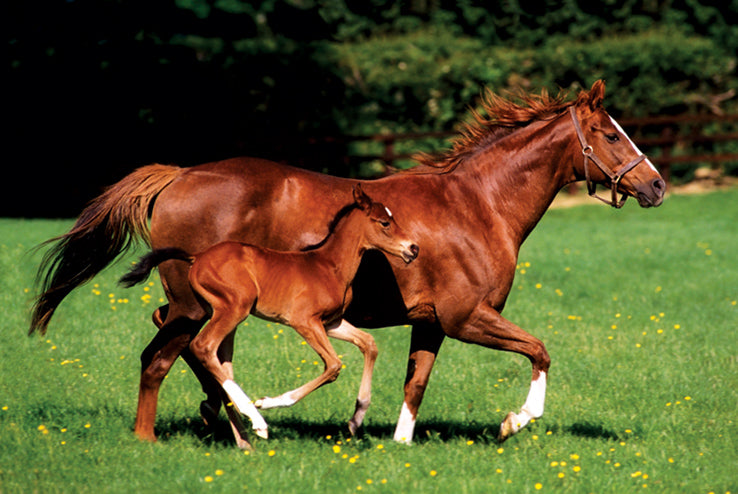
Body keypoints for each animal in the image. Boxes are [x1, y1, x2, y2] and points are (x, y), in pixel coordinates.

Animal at [119, 184, 414, 444]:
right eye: (384, 223)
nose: (413, 249)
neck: (329, 266)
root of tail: (197, 257)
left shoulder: (332, 323)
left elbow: (369, 344)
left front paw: (356, 418)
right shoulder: (304, 321)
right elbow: (333, 365)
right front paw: (269, 402)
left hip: (209, 308)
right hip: (235, 307)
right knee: (203, 345)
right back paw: (256, 420)